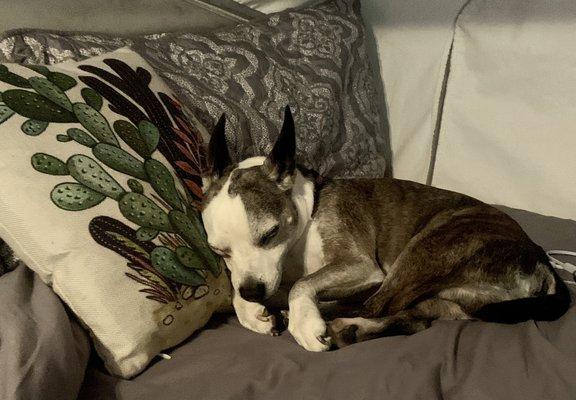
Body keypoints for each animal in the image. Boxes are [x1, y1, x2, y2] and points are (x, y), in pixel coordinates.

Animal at [200, 105, 568, 350]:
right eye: (219, 251)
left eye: (270, 234)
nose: (253, 292)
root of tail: (542, 261)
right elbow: (242, 288)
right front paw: (250, 310)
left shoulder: (360, 266)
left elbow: (301, 285)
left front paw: (302, 321)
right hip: (449, 299)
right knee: (408, 318)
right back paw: (348, 329)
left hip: (425, 250)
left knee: (376, 303)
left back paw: (311, 318)